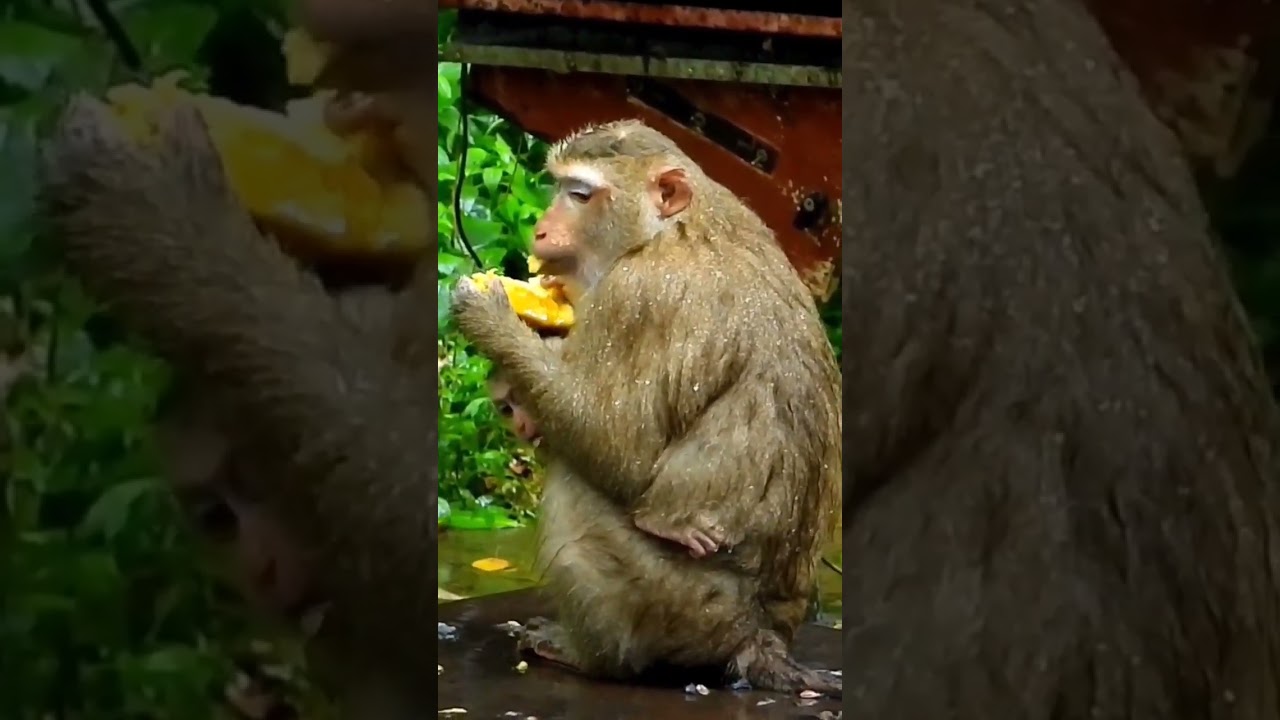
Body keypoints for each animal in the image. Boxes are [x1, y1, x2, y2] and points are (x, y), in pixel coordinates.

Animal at [451, 120, 843, 694]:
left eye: (579, 195)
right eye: (558, 187)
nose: (541, 232)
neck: (666, 230)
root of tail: (763, 638)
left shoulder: (639, 295)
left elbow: (619, 449)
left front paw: (492, 316)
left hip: (682, 609)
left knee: (574, 489)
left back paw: (591, 657)